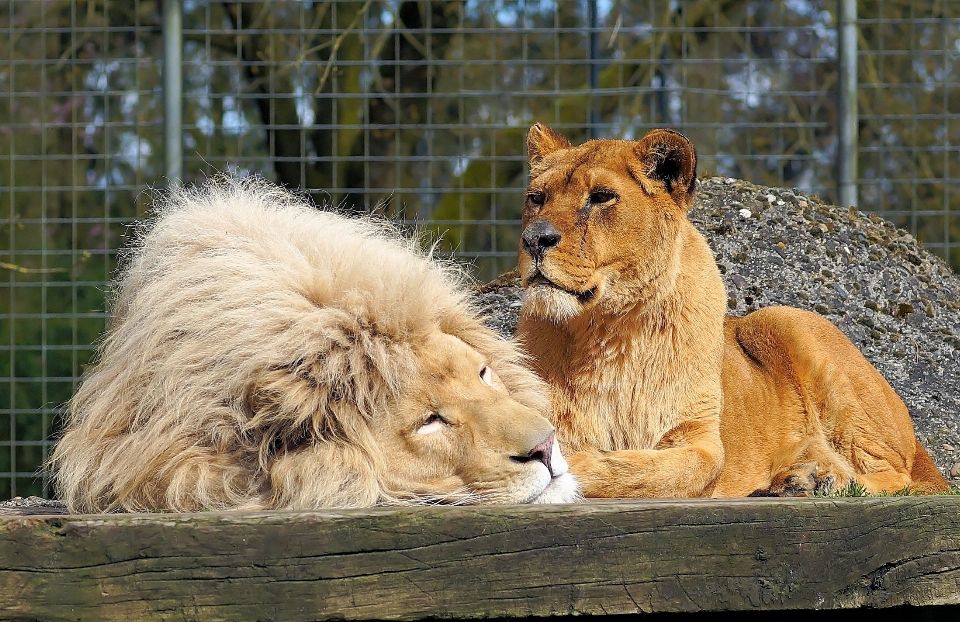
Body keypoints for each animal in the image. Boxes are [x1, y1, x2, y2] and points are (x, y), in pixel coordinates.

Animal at [512, 124, 948, 500]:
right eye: (537, 198)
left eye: (601, 197)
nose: (534, 239)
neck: (608, 329)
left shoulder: (701, 438)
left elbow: (657, 471)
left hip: (783, 319)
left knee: (896, 477)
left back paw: (815, 479)